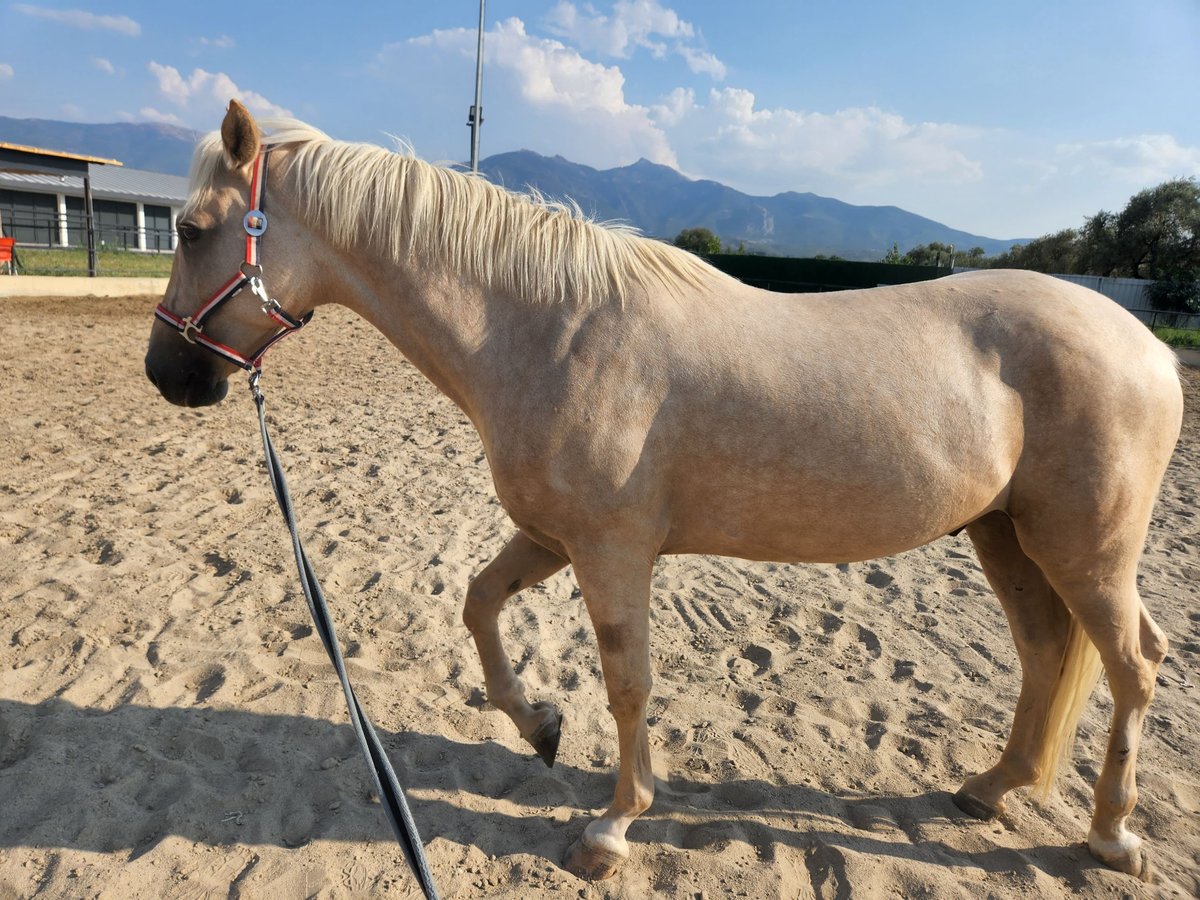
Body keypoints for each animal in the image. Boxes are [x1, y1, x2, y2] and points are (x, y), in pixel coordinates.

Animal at [142, 102, 1180, 883]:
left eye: (192, 230)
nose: (167, 374)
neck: (555, 330)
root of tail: (1151, 347)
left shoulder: (610, 552)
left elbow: (629, 681)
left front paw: (612, 827)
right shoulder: (551, 536)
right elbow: (479, 605)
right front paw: (540, 727)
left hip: (1086, 551)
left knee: (1134, 663)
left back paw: (1112, 836)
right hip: (1006, 537)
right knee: (1046, 655)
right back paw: (991, 789)